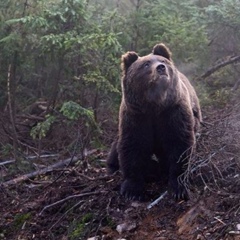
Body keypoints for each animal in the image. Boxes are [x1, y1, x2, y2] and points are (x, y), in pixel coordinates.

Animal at [107, 42, 202, 201]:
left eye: (162, 61)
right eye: (146, 64)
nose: (161, 68)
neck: (155, 105)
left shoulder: (173, 112)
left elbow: (179, 143)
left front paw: (178, 188)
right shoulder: (137, 116)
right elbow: (132, 146)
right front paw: (131, 190)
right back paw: (113, 166)